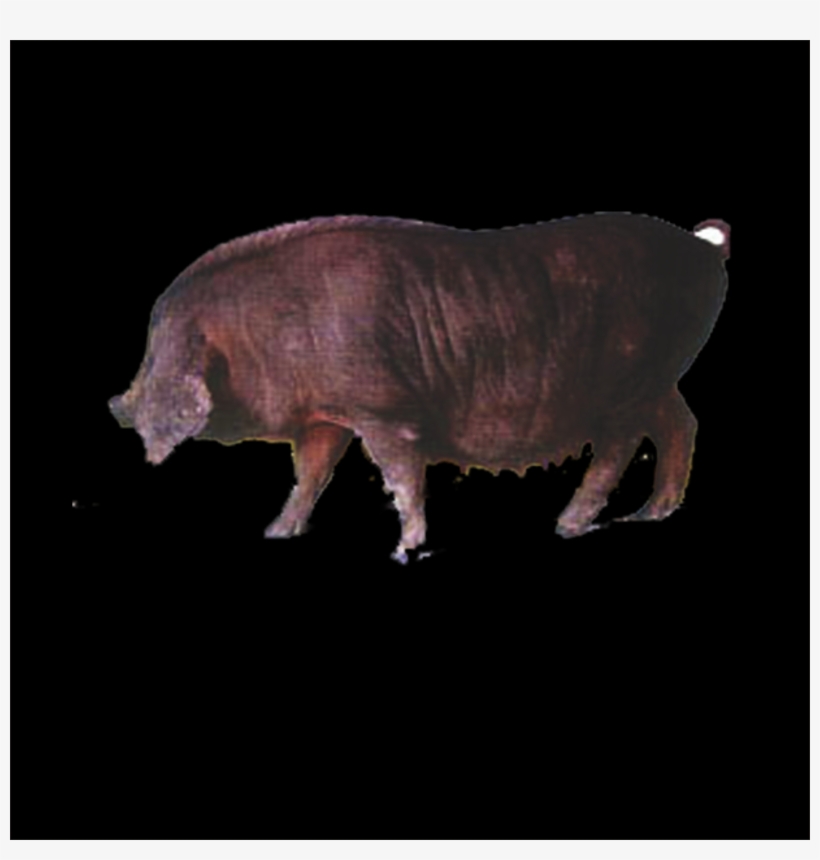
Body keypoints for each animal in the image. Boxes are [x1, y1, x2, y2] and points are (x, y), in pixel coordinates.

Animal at [108, 213, 730, 561]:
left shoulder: (382, 406)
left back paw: (568, 526)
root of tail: (704, 249)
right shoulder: (326, 414)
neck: (258, 334)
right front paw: (276, 534)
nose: (114, 403)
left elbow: (402, 474)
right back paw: (650, 516)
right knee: (682, 422)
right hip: (660, 378)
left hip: (629, 379)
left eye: (158, 350)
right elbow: (310, 472)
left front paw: (404, 549)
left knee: (622, 442)